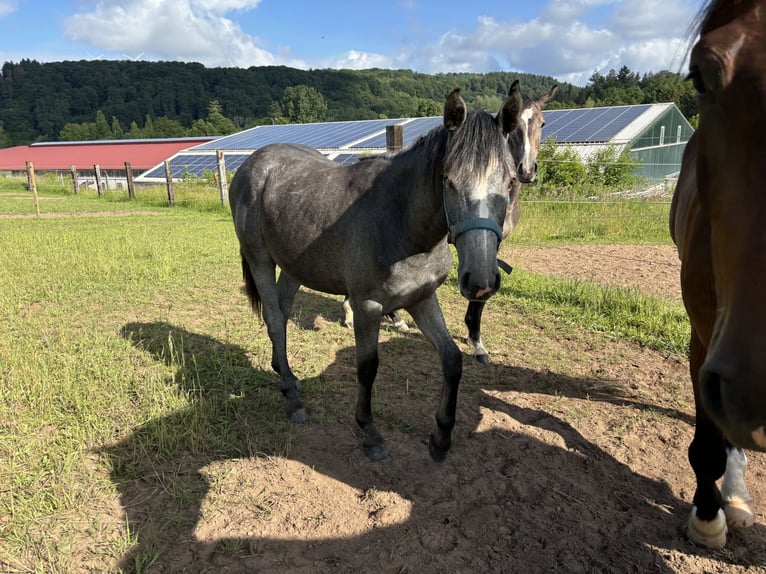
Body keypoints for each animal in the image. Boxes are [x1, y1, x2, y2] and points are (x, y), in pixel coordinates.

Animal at [231, 85, 524, 464]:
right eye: (449, 181)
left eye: (511, 181)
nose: (480, 281)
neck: (401, 223)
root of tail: (252, 163)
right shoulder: (367, 306)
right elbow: (367, 368)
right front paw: (370, 433)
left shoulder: (422, 298)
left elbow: (452, 360)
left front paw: (441, 437)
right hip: (260, 259)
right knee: (276, 320)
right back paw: (293, 400)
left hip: (294, 267)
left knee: (280, 312)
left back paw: (287, 376)